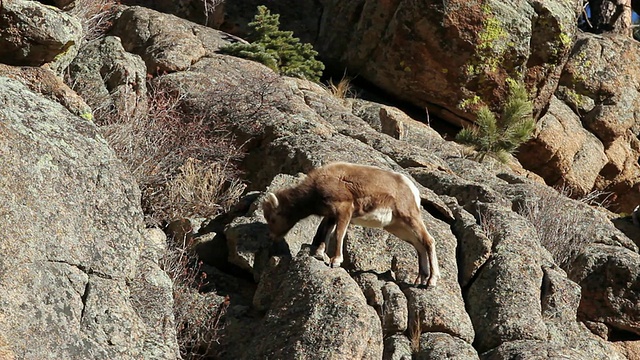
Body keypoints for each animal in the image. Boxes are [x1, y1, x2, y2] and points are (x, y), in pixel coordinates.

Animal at [262, 162, 440, 286]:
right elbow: (326, 233)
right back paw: (420, 280)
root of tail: (413, 191)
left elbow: (338, 234)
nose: (271, 237)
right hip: (398, 228)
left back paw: (431, 281)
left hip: (410, 218)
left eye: (272, 218)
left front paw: (335, 261)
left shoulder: (344, 210)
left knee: (429, 241)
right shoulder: (331, 215)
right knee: (419, 245)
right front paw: (320, 253)